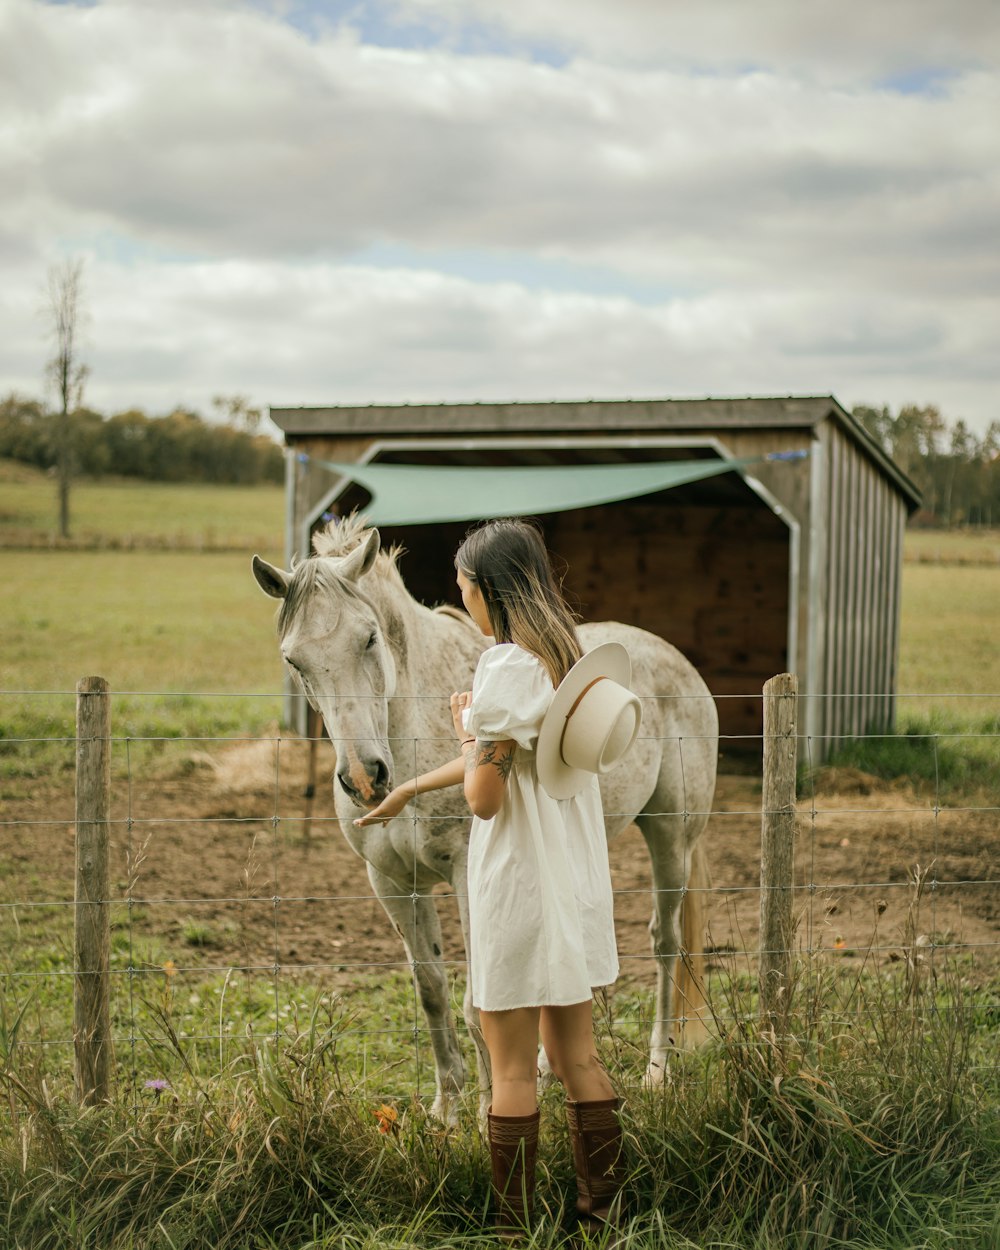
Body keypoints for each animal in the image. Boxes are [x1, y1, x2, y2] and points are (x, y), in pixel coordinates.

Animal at [253, 512, 715, 1120]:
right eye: (293, 659)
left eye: (369, 637)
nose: (364, 778)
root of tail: (673, 658)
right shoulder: (392, 883)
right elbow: (432, 992)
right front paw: (444, 1112)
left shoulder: (467, 875)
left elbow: (478, 1004)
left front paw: (484, 1113)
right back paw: (548, 1070)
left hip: (671, 836)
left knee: (666, 945)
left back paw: (658, 1070)